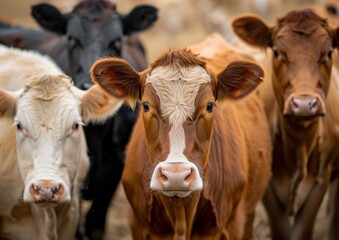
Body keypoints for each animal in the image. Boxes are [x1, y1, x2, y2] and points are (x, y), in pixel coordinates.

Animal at [89, 32, 272, 239]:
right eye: (146, 105)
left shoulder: (233, 225)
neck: (181, 215)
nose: (175, 175)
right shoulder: (137, 223)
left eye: (210, 105)